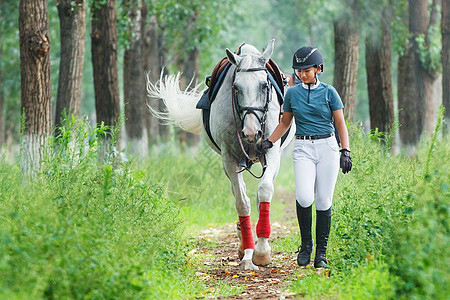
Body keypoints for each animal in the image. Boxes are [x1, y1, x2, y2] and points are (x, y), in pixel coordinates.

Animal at [147, 39, 296, 270]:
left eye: (264, 85)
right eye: (236, 87)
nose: (251, 132)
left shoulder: (271, 152)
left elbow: (264, 191)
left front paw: (262, 252)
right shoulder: (229, 158)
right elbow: (242, 201)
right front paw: (248, 253)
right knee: (238, 194)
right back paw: (243, 242)